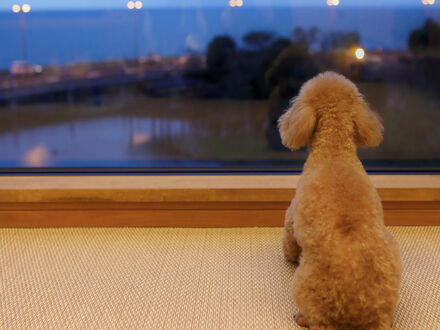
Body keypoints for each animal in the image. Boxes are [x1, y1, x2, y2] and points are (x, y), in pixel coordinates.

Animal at [278, 72, 402, 330]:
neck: (334, 150)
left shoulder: (292, 216)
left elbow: (289, 241)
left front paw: (288, 255)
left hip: (303, 284)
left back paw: (301, 317)